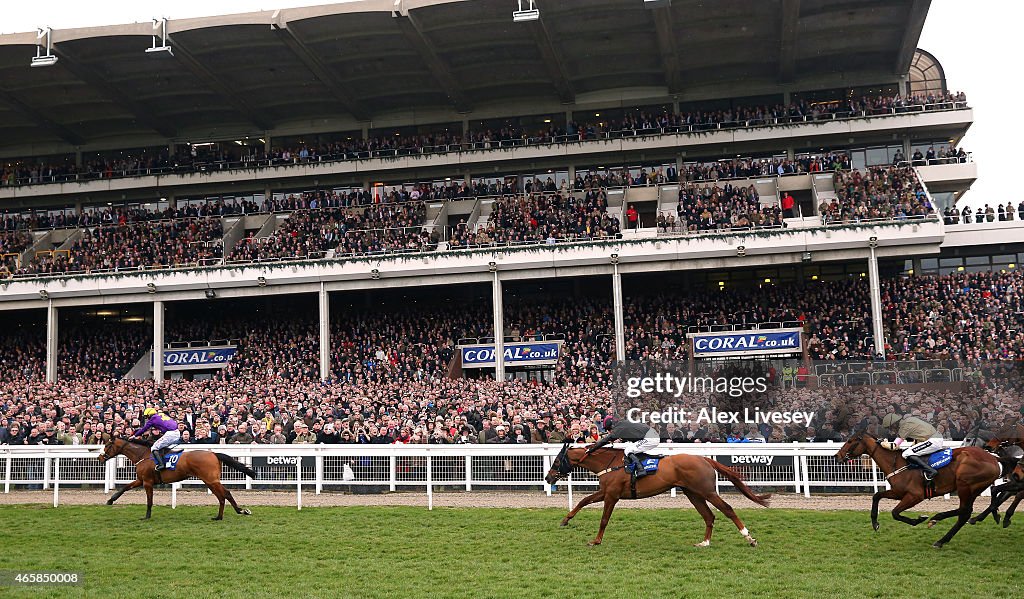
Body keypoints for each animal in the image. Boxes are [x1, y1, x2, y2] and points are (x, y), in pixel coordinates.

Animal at [96, 434, 256, 518]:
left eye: (107, 445)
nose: (100, 458)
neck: (143, 455)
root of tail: (213, 453)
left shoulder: (147, 482)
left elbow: (149, 500)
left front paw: (147, 516)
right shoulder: (140, 480)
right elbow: (124, 488)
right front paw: (110, 500)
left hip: (211, 480)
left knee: (225, 494)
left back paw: (236, 512)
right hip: (210, 481)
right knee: (222, 496)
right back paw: (223, 516)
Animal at [544, 438, 770, 544]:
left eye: (557, 461)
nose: (548, 478)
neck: (610, 463)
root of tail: (704, 458)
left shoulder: (612, 495)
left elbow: (604, 519)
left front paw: (596, 540)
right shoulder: (605, 492)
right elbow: (583, 502)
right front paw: (565, 520)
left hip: (707, 491)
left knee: (728, 509)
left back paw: (749, 538)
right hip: (693, 493)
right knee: (709, 516)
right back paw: (704, 542)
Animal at [831, 432, 999, 548]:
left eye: (850, 441)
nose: (836, 456)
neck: (897, 463)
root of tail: (994, 459)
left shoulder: (915, 495)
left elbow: (895, 513)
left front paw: (918, 519)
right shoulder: (898, 493)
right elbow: (877, 496)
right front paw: (875, 523)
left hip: (965, 485)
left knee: (964, 511)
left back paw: (936, 522)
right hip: (974, 489)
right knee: (965, 513)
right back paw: (941, 536)